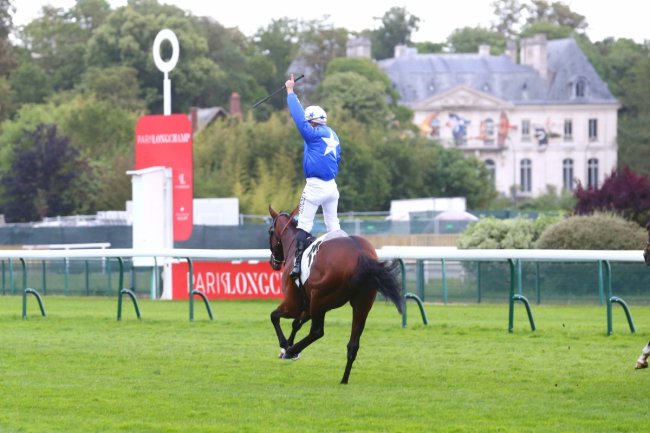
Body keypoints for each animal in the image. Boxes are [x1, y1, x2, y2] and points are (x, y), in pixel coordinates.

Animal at [267, 205, 403, 384]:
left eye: (270, 231)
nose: (273, 263)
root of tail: (361, 255)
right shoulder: (308, 304)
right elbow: (296, 323)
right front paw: (286, 348)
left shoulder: (294, 303)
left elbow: (274, 316)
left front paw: (286, 347)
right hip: (361, 304)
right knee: (353, 344)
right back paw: (344, 379)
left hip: (320, 300)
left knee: (317, 332)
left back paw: (292, 351)